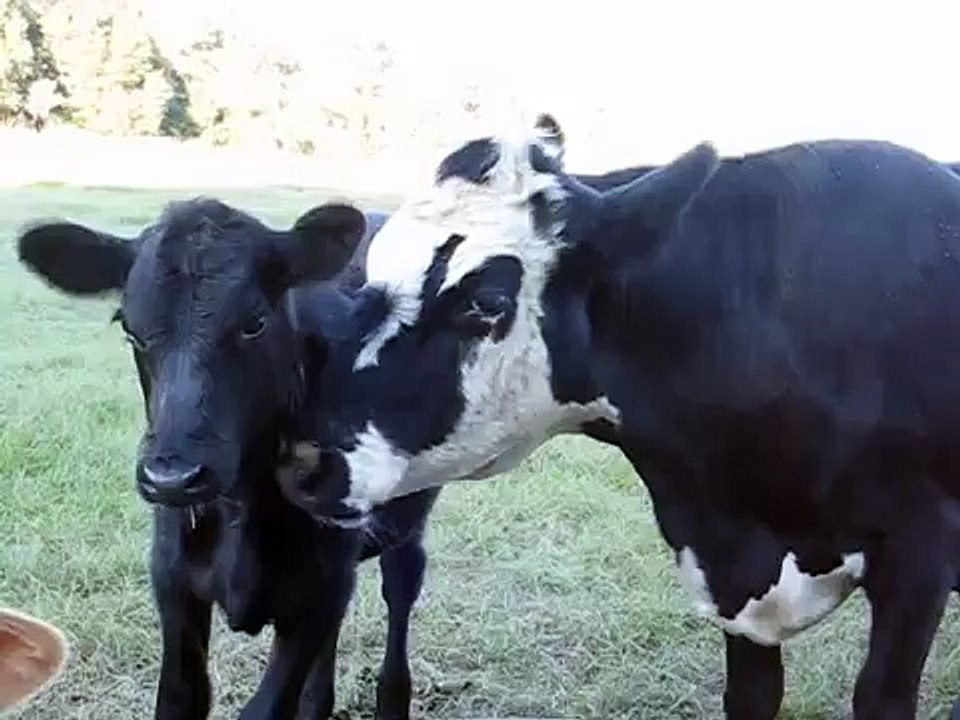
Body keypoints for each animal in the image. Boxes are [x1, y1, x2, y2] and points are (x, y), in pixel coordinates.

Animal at [16, 201, 440, 720]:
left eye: (254, 322)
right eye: (130, 329)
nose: (172, 478)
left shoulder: (317, 590)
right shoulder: (172, 581)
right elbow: (180, 696)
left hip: (405, 528)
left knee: (400, 594)